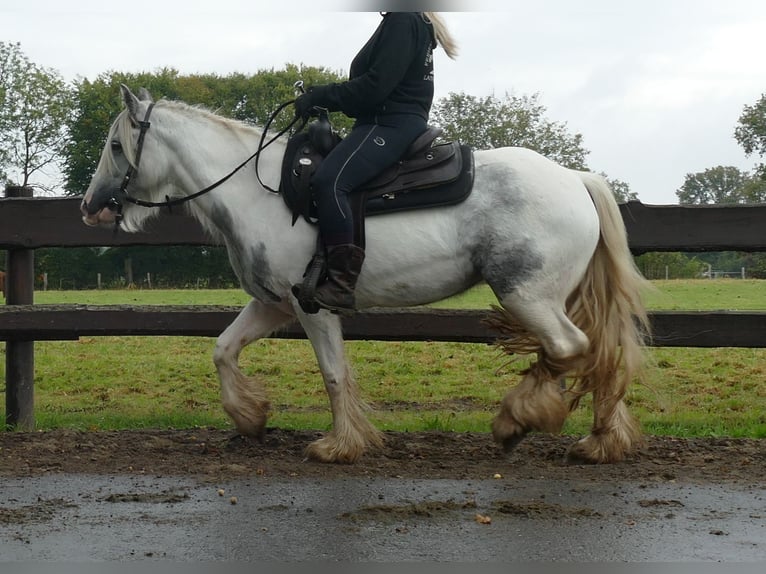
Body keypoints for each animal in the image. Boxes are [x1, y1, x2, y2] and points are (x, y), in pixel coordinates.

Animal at [81, 85, 652, 466]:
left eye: (116, 146)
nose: (92, 208)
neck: (257, 190)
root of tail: (574, 180)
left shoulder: (310, 305)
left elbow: (333, 374)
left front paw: (339, 445)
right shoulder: (271, 303)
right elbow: (222, 349)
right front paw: (250, 417)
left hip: (528, 296)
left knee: (569, 348)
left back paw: (518, 420)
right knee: (599, 355)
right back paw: (601, 441)